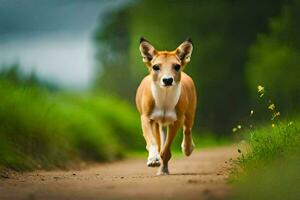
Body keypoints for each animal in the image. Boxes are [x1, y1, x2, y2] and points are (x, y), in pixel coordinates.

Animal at [136, 37, 197, 175]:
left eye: (177, 66)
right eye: (155, 67)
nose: (168, 80)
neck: (164, 99)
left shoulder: (177, 119)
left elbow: (167, 148)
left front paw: (163, 164)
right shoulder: (147, 117)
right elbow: (153, 141)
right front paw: (153, 160)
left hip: (190, 110)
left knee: (187, 129)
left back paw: (187, 148)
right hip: (157, 123)